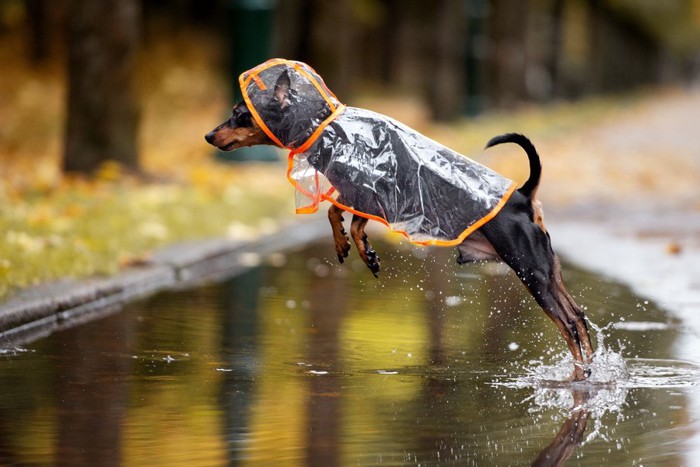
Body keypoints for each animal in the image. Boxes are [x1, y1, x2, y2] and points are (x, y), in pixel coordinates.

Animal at [205, 59, 592, 380]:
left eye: (240, 114)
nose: (208, 135)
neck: (325, 127)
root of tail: (524, 196)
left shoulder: (368, 192)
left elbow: (338, 215)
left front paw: (353, 247)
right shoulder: (366, 197)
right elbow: (347, 217)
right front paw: (361, 249)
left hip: (530, 271)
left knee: (568, 323)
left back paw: (578, 374)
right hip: (548, 271)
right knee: (579, 317)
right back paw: (588, 368)